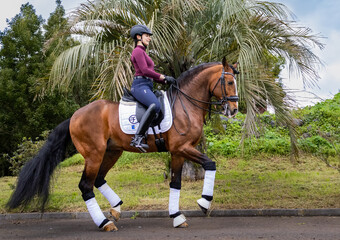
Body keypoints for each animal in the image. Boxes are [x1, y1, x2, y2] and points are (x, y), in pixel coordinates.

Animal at [5, 57, 239, 232]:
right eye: (229, 83)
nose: (234, 109)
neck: (185, 104)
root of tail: (74, 116)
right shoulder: (182, 148)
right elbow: (211, 164)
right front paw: (204, 203)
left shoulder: (178, 152)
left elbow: (176, 183)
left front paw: (177, 216)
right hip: (94, 154)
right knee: (86, 186)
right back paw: (104, 223)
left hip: (111, 152)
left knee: (99, 179)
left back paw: (115, 209)